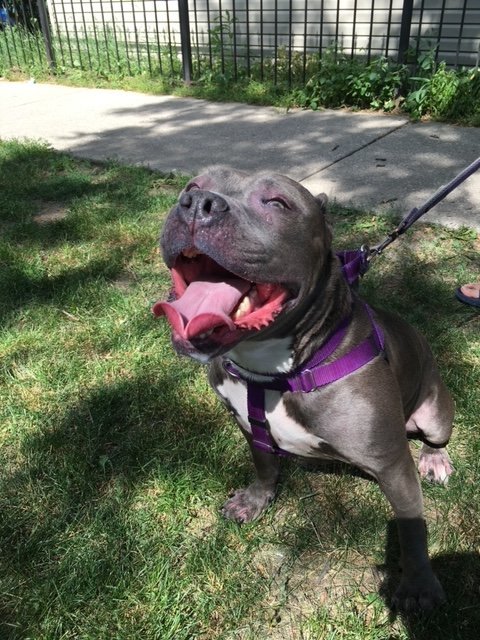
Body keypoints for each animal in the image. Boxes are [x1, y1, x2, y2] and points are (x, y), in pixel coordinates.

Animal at [154, 168, 454, 612]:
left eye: (277, 203)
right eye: (192, 186)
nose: (197, 204)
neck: (274, 371)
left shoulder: (392, 463)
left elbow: (411, 527)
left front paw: (418, 584)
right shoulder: (250, 428)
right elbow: (264, 466)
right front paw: (254, 500)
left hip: (434, 411)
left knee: (435, 436)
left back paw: (435, 459)